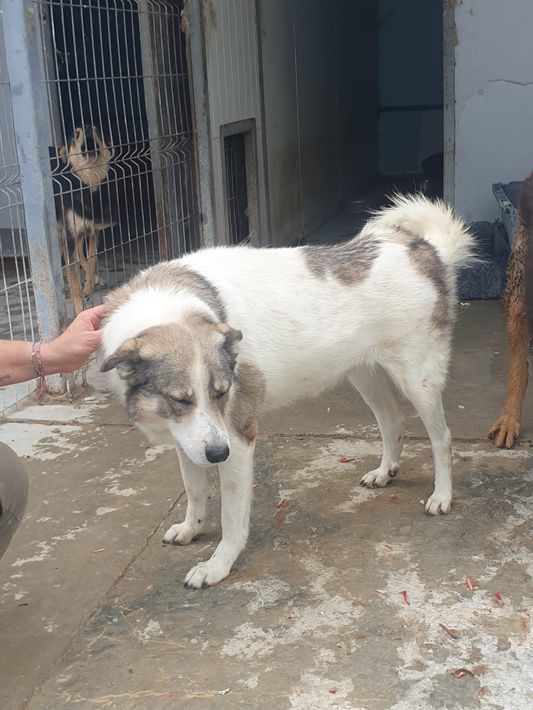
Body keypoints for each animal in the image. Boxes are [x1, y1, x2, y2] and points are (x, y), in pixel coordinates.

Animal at [53, 126, 114, 314]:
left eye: (96, 129)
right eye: (76, 133)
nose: (87, 127)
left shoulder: (94, 230)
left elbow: (92, 259)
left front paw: (89, 284)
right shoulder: (70, 235)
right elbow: (73, 276)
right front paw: (79, 308)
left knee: (81, 255)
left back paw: (93, 280)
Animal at [101, 194, 475, 588]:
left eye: (222, 393)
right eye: (180, 399)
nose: (219, 454)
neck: (169, 305)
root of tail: (424, 249)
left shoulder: (238, 437)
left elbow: (232, 520)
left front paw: (218, 565)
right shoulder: (189, 440)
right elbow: (195, 490)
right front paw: (192, 527)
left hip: (419, 379)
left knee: (442, 438)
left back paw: (442, 495)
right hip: (363, 374)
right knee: (392, 421)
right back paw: (385, 471)